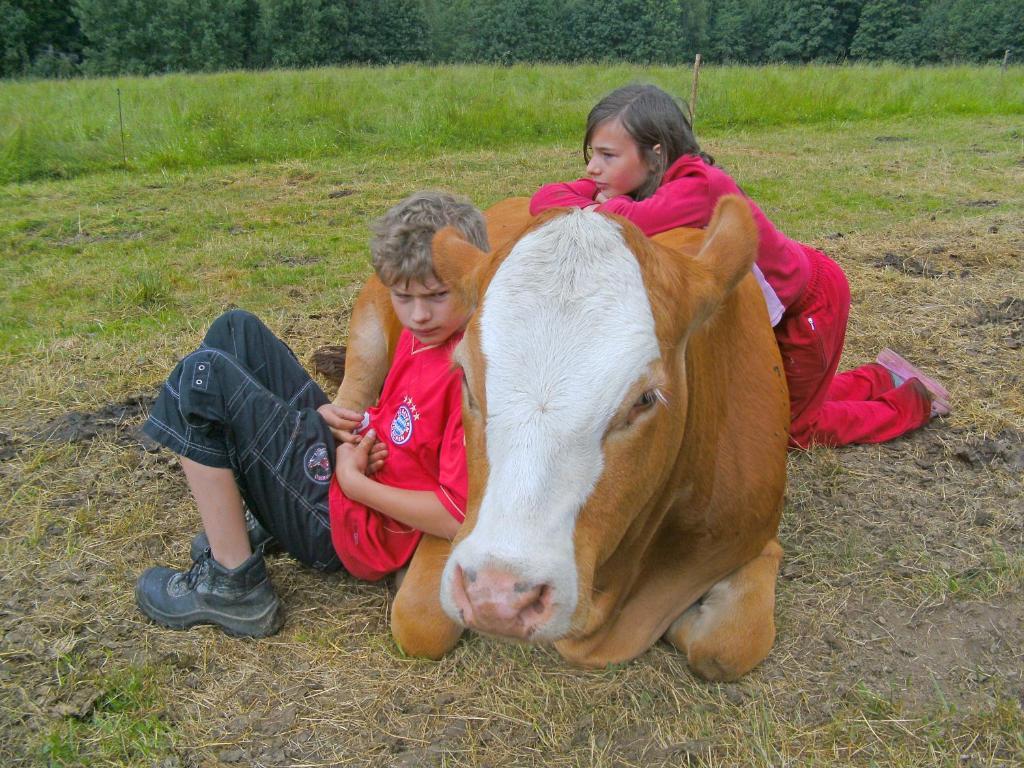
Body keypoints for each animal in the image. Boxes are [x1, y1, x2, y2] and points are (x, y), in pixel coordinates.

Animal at [331, 195, 786, 684]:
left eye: (646, 398)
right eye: (464, 377)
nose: (499, 597)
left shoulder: (753, 537)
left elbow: (728, 646)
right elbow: (421, 619)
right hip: (369, 323)